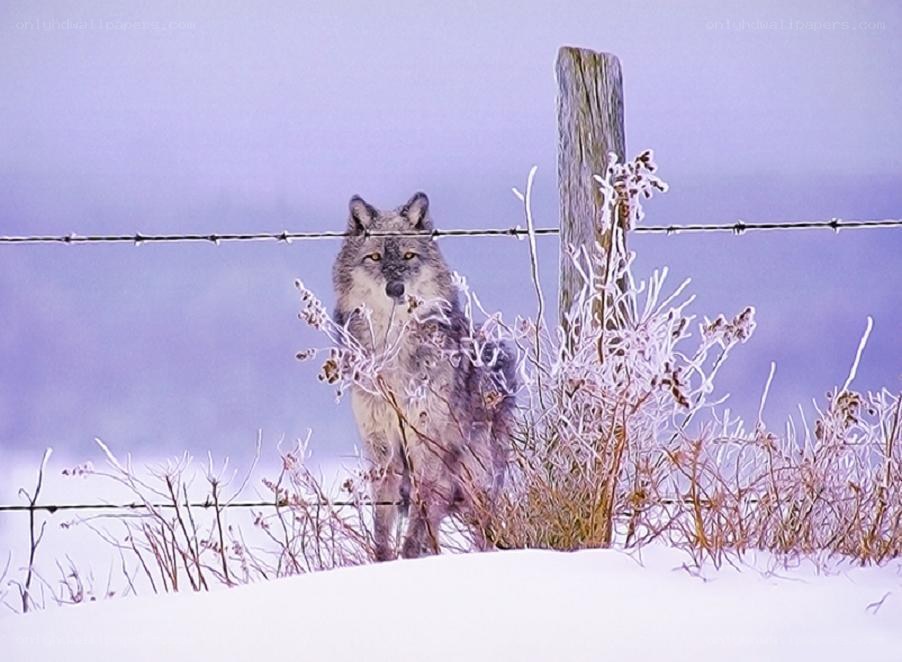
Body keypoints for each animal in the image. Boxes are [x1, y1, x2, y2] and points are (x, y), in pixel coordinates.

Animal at [332, 192, 517, 561]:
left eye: (408, 255)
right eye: (375, 257)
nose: (396, 288)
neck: (392, 352)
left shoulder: (426, 441)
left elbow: (418, 515)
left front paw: (407, 559)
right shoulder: (381, 446)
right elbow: (383, 520)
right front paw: (382, 562)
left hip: (473, 478)